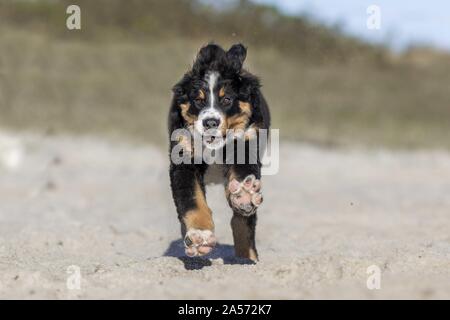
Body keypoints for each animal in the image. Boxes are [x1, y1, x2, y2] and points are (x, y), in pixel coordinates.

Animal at [167, 43, 268, 262]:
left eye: (227, 99)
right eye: (198, 100)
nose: (210, 122)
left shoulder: (246, 143)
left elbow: (243, 173)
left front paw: (244, 195)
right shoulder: (184, 159)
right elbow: (192, 199)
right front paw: (200, 235)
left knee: (242, 222)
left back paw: (247, 257)